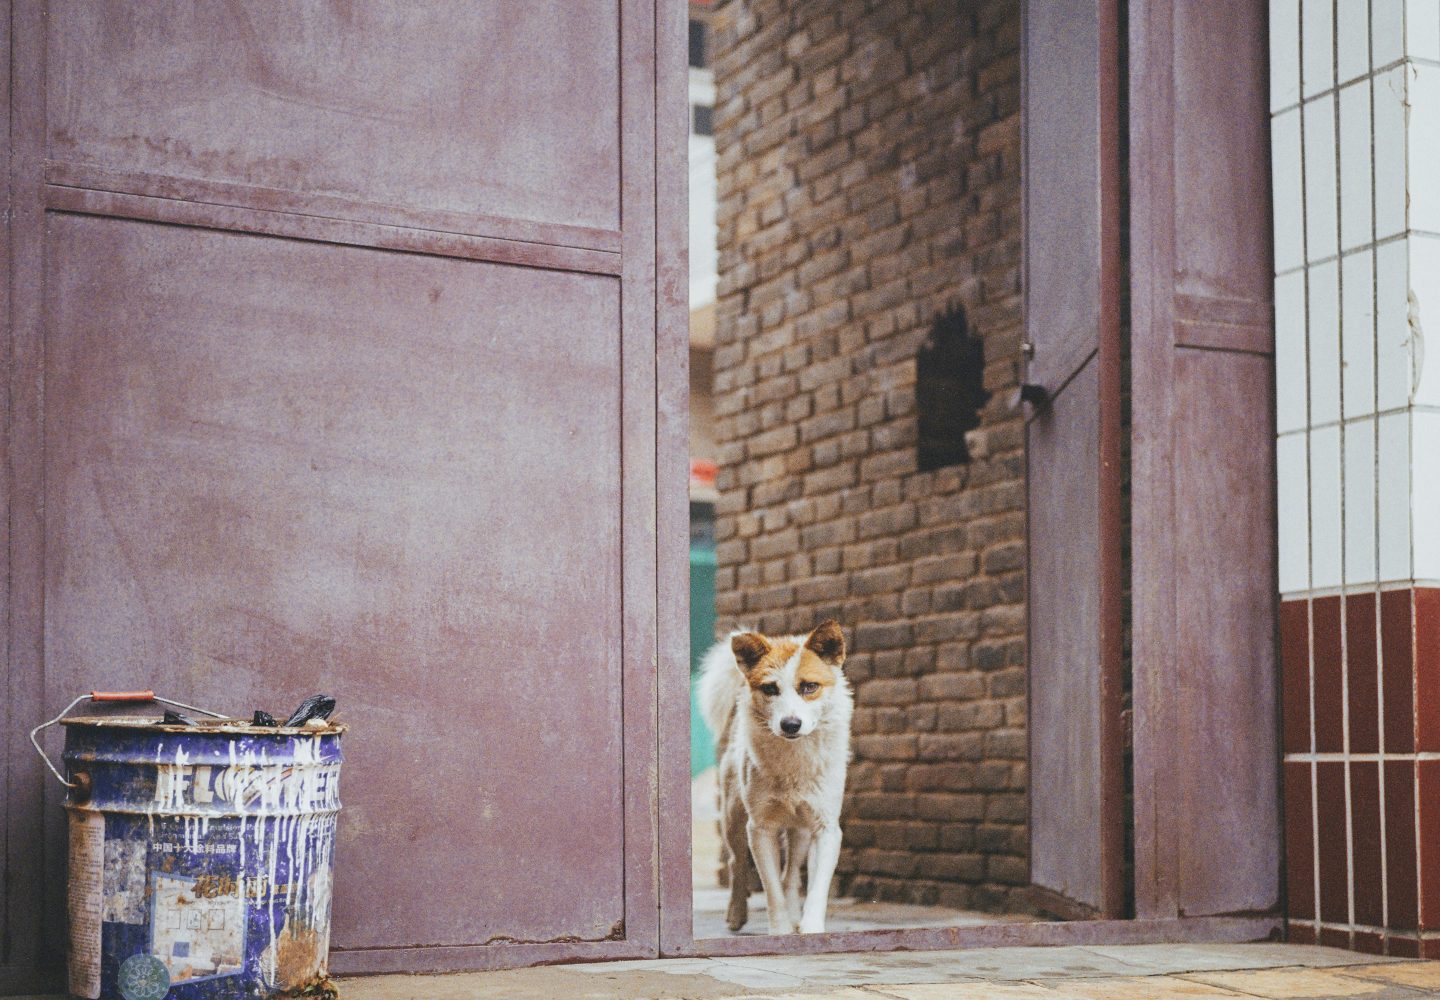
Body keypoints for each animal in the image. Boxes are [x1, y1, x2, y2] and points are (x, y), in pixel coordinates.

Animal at [699, 622, 846, 933]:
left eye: (809, 687)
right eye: (770, 688)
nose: (791, 724)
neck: (793, 764)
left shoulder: (826, 828)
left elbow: (815, 888)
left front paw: (809, 927)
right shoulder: (760, 828)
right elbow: (770, 889)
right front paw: (780, 930)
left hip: (801, 831)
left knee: (790, 875)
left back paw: (794, 914)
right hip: (732, 817)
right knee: (736, 863)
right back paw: (736, 914)